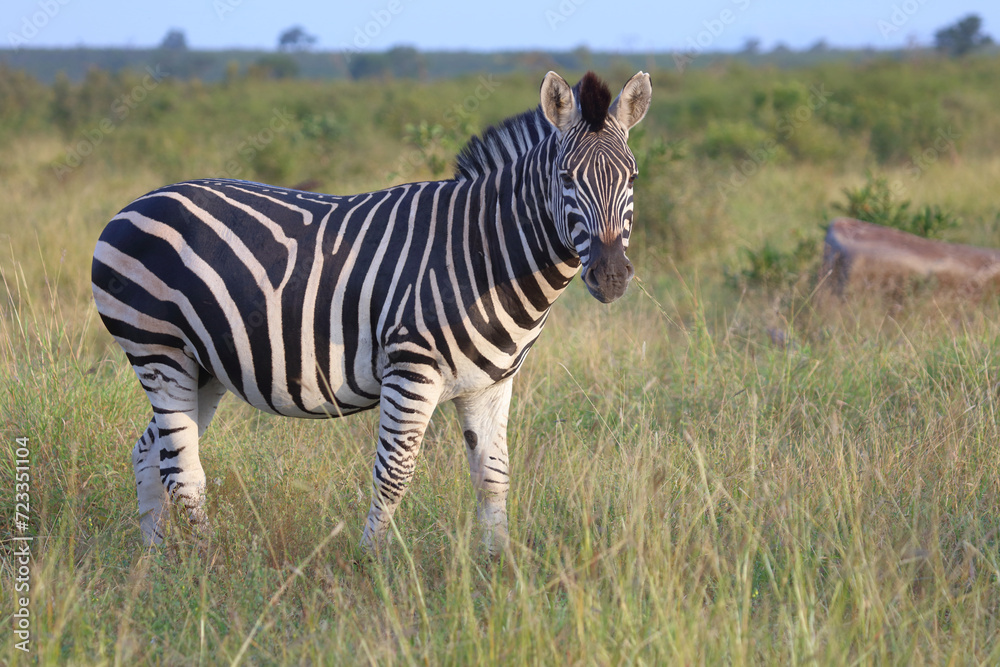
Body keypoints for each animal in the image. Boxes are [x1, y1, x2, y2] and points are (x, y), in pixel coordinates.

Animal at [91, 70, 652, 557]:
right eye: (566, 177)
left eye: (632, 176)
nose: (611, 276)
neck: (483, 252)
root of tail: (136, 203)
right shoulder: (412, 370)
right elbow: (394, 474)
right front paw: (371, 565)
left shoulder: (490, 384)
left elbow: (494, 478)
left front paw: (497, 571)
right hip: (157, 350)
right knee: (182, 470)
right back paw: (205, 570)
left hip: (202, 366)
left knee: (151, 452)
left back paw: (153, 564)